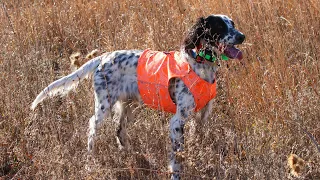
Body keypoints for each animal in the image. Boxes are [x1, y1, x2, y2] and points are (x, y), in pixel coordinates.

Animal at [31, 14, 245, 180]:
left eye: (233, 24)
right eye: (220, 26)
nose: (242, 36)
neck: (200, 64)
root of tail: (104, 57)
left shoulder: (202, 115)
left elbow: (197, 139)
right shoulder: (177, 121)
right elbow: (177, 158)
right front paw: (176, 174)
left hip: (129, 105)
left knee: (119, 129)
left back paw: (129, 154)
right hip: (104, 105)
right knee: (93, 126)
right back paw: (90, 158)